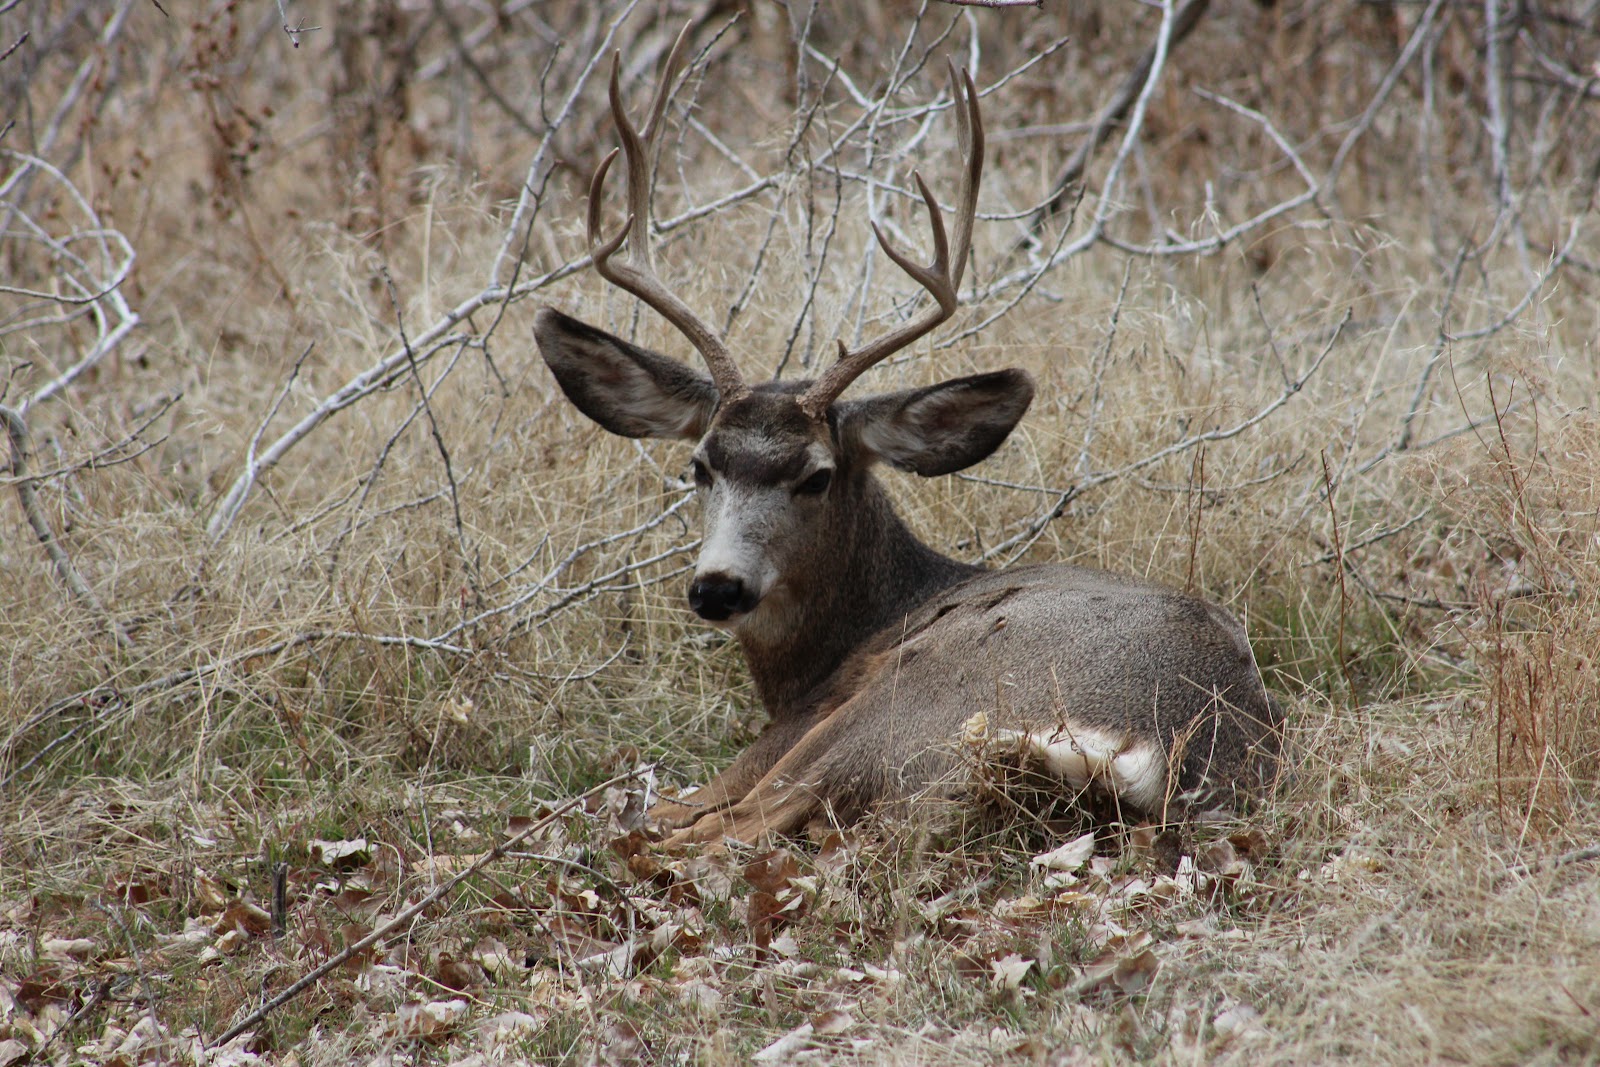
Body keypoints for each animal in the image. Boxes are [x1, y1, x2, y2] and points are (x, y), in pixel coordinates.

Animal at [534, 33, 1283, 848]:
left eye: (817, 475)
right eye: (699, 465)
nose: (718, 586)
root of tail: (1162, 752)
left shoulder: (801, 719)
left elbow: (689, 803)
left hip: (908, 700)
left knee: (730, 827)